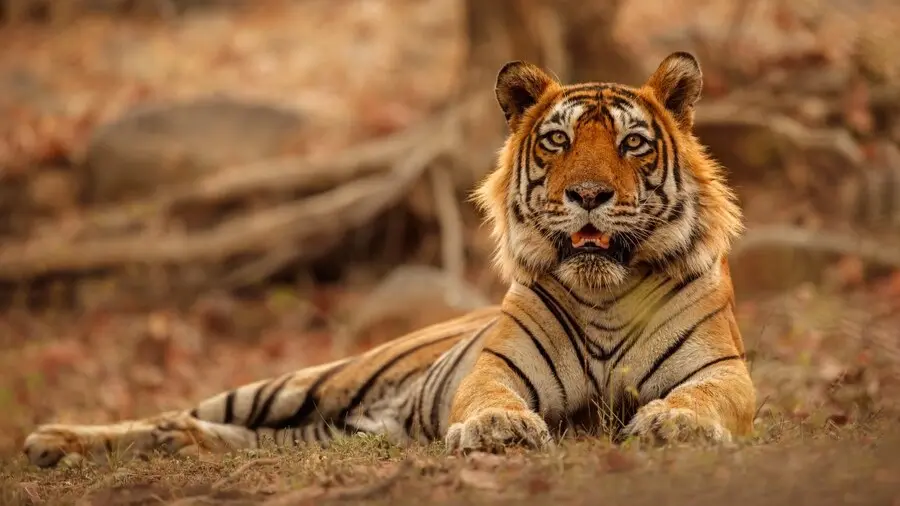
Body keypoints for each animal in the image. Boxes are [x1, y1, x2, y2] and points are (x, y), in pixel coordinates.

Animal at [22, 51, 755, 468]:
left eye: (632, 143)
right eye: (557, 141)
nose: (588, 195)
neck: (604, 293)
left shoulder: (725, 374)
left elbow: (702, 396)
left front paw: (676, 424)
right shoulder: (493, 368)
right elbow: (490, 395)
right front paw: (498, 428)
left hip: (327, 428)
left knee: (235, 435)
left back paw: (176, 446)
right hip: (302, 382)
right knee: (178, 411)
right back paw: (56, 441)